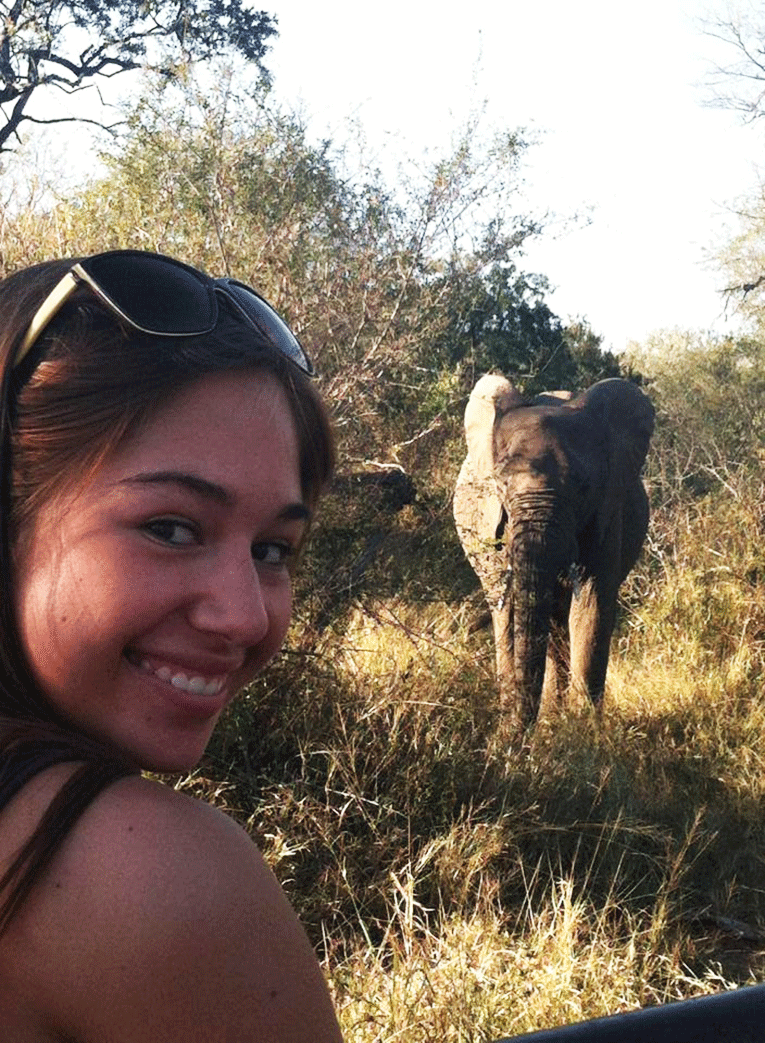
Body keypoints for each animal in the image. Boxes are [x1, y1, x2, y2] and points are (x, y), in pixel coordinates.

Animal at [453, 374, 655, 732]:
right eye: (500, 484)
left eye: (583, 486)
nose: (513, 737)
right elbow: (510, 610)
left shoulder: (608, 509)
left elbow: (590, 604)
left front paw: (584, 732)